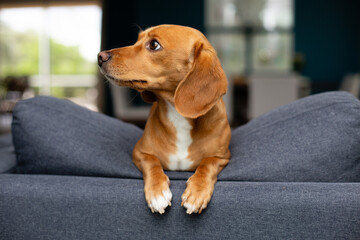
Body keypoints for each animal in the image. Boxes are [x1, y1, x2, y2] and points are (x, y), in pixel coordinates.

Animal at [97, 24, 231, 215]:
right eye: (137, 40)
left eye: (154, 45)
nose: (100, 56)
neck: (177, 115)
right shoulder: (139, 152)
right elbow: (152, 162)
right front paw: (157, 192)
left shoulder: (222, 157)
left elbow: (207, 163)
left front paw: (197, 191)